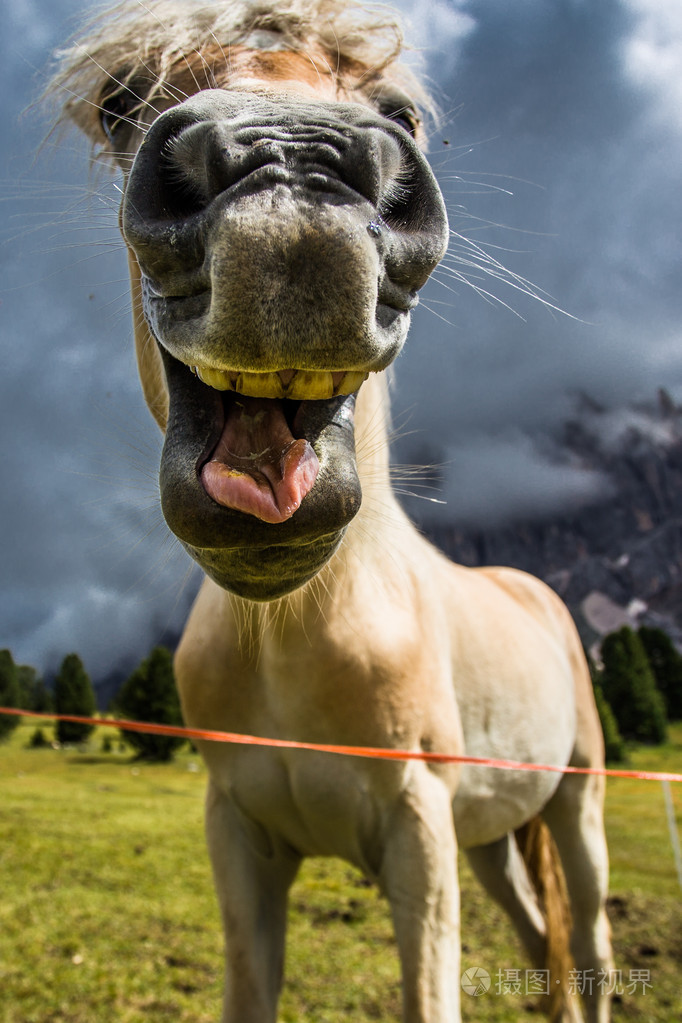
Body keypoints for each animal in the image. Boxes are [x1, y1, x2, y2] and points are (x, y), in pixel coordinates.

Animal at [50, 2, 614, 1020]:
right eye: (120, 103)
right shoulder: (239, 836)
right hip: (492, 838)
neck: (296, 630)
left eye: (403, 111)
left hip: (575, 804)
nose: (287, 176)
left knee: (586, 943)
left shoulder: (419, 834)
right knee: (541, 941)